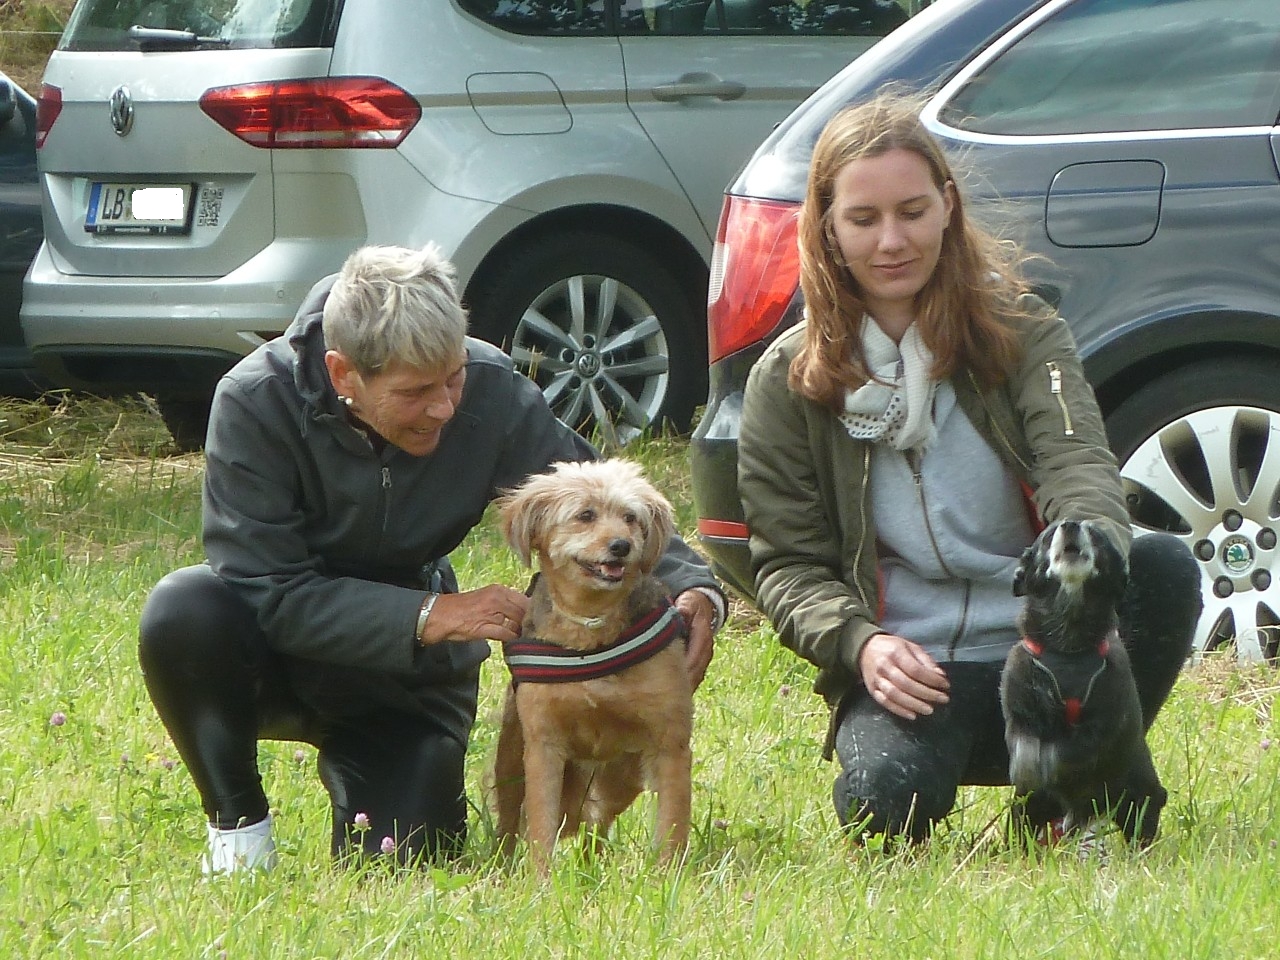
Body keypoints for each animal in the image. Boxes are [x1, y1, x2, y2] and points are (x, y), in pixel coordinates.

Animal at [491, 458, 696, 870]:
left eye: (631, 517)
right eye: (585, 515)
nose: (621, 546)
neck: (591, 626)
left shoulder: (669, 742)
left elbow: (672, 824)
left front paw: (668, 875)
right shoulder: (543, 746)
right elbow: (540, 826)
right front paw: (540, 881)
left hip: (622, 775)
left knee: (596, 822)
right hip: (511, 759)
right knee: (510, 820)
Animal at [998, 522, 1172, 844]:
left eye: (1097, 535)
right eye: (1048, 535)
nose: (1069, 525)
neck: (1068, 648)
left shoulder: (1101, 727)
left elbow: (1068, 753)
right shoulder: (1021, 712)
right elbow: (1027, 745)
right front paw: (1029, 767)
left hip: (1139, 801)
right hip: (1027, 813)